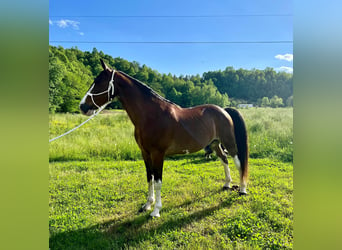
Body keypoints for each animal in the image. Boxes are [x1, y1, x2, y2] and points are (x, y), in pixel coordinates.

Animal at [80, 58, 248, 217]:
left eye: (98, 83)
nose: (82, 107)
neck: (151, 116)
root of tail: (223, 110)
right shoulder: (145, 153)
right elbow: (149, 178)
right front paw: (147, 205)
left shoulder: (158, 154)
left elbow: (158, 181)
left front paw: (156, 211)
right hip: (215, 143)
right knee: (224, 160)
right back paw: (227, 184)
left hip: (229, 142)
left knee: (238, 162)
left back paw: (242, 189)